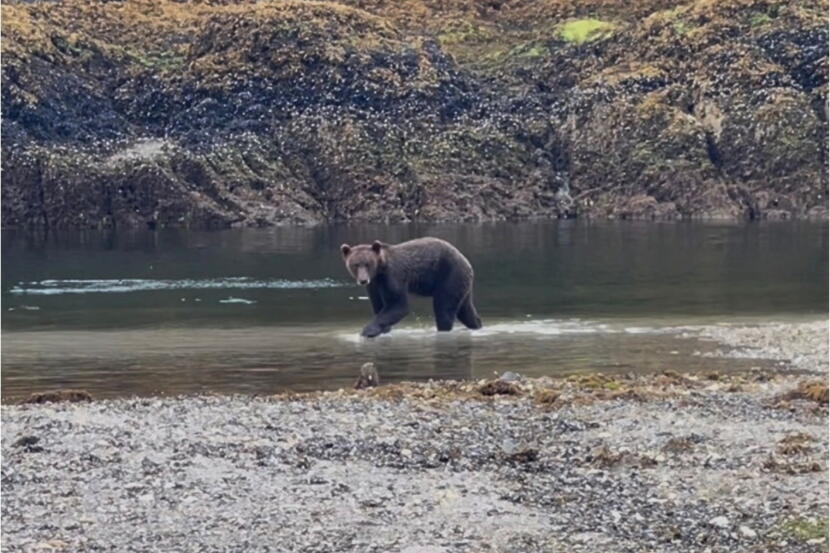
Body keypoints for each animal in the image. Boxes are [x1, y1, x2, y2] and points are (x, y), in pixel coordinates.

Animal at [340, 237, 483, 338]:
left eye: (367, 264)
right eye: (355, 265)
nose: (363, 280)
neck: (379, 271)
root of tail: (467, 263)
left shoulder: (393, 276)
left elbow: (397, 305)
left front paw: (367, 331)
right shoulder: (374, 285)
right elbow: (379, 306)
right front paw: (382, 330)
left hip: (450, 276)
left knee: (444, 309)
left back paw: (443, 330)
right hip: (461, 284)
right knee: (466, 311)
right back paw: (477, 325)